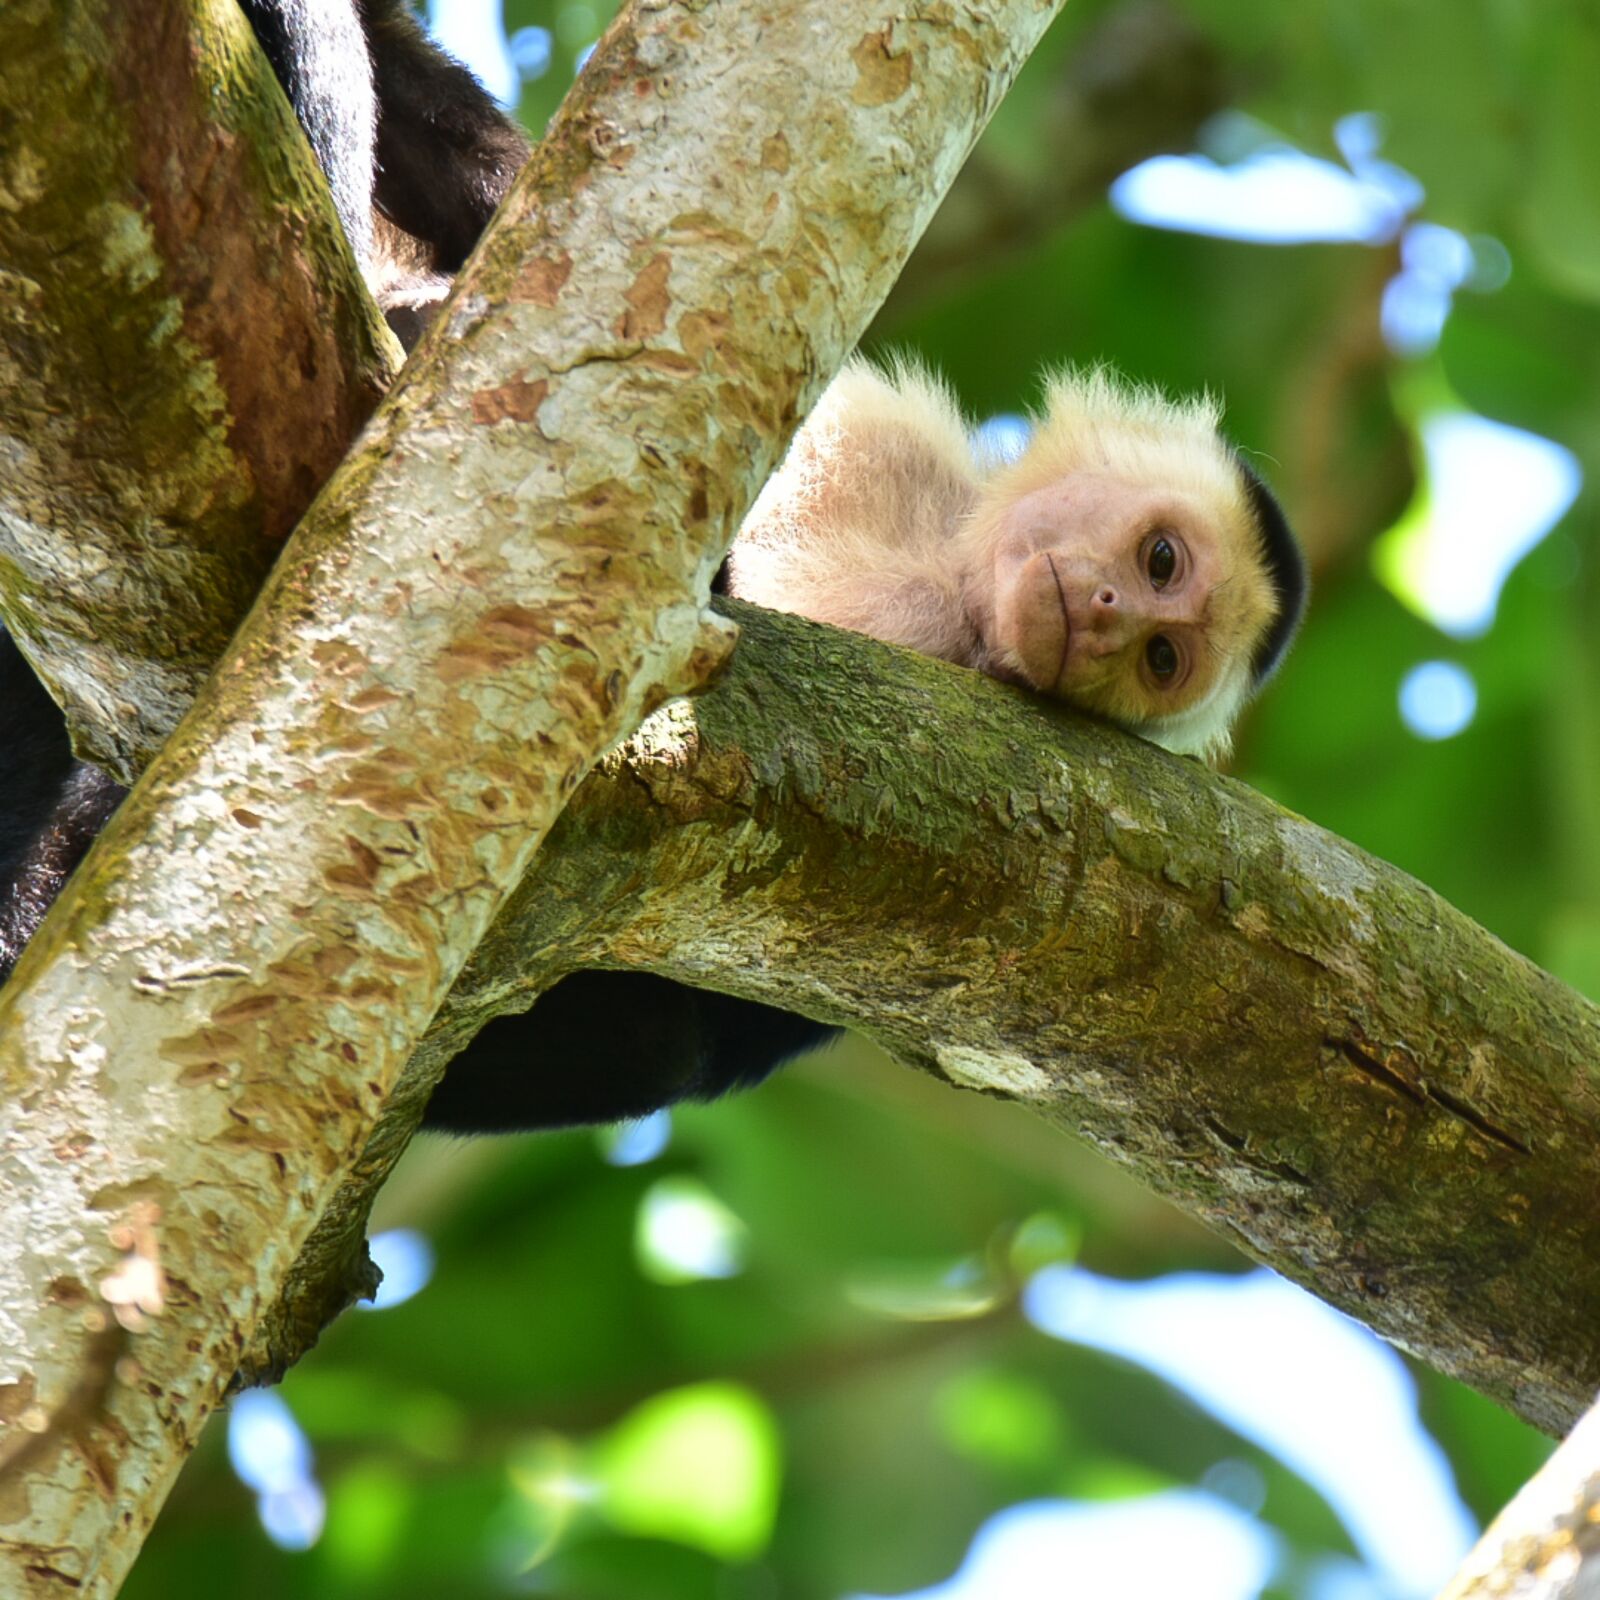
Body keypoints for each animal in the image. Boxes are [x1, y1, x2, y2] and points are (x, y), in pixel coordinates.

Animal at [0, 4, 1305, 1139]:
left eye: (1163, 654)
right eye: (1158, 558)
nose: (1107, 613)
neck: (946, 593)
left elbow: (670, 1029)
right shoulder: (883, 447)